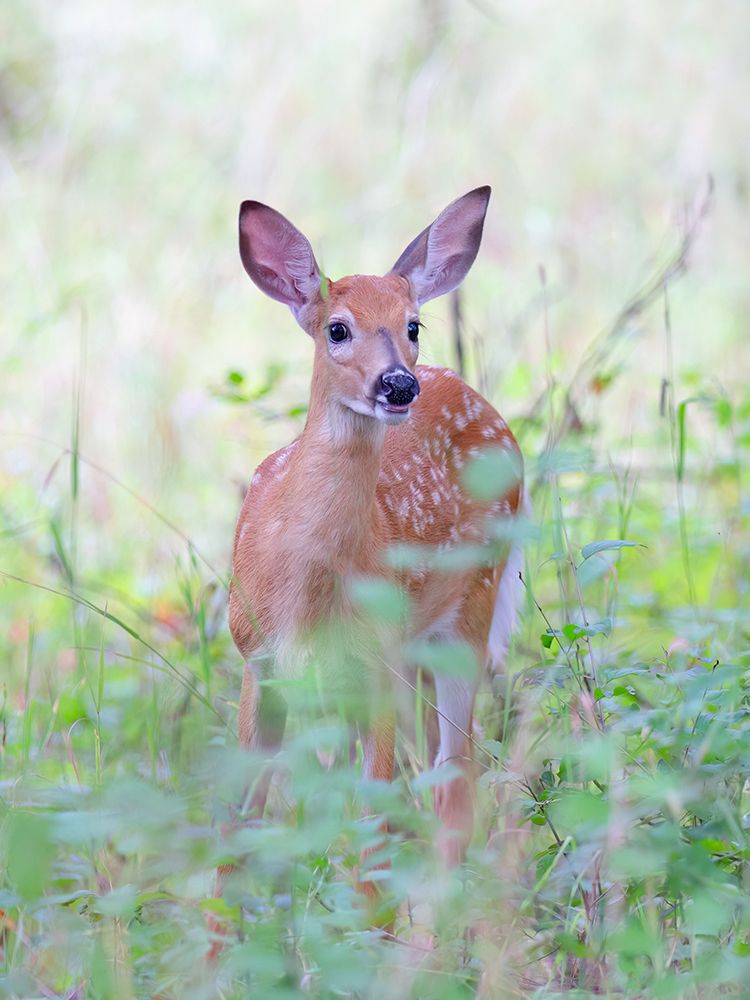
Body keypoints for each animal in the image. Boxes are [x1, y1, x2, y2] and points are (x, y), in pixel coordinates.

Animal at [218, 186, 524, 924]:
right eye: (337, 329)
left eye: (413, 323)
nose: (397, 385)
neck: (303, 588)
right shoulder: (256, 657)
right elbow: (240, 829)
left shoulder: (378, 661)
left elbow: (371, 824)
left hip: (466, 615)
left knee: (452, 788)